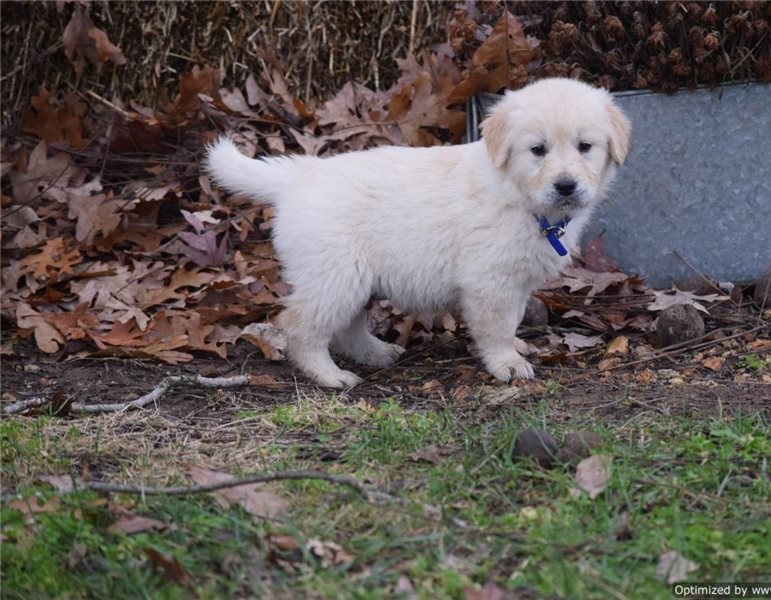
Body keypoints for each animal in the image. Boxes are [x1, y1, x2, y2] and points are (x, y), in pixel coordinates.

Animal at [207, 77, 632, 386]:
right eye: (538, 150)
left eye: (585, 146)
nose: (566, 186)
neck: (518, 193)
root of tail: (299, 175)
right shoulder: (489, 281)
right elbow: (495, 326)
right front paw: (506, 363)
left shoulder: (516, 281)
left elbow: (511, 319)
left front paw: (515, 346)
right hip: (335, 276)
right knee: (299, 328)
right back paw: (330, 375)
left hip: (352, 280)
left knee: (346, 329)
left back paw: (376, 354)